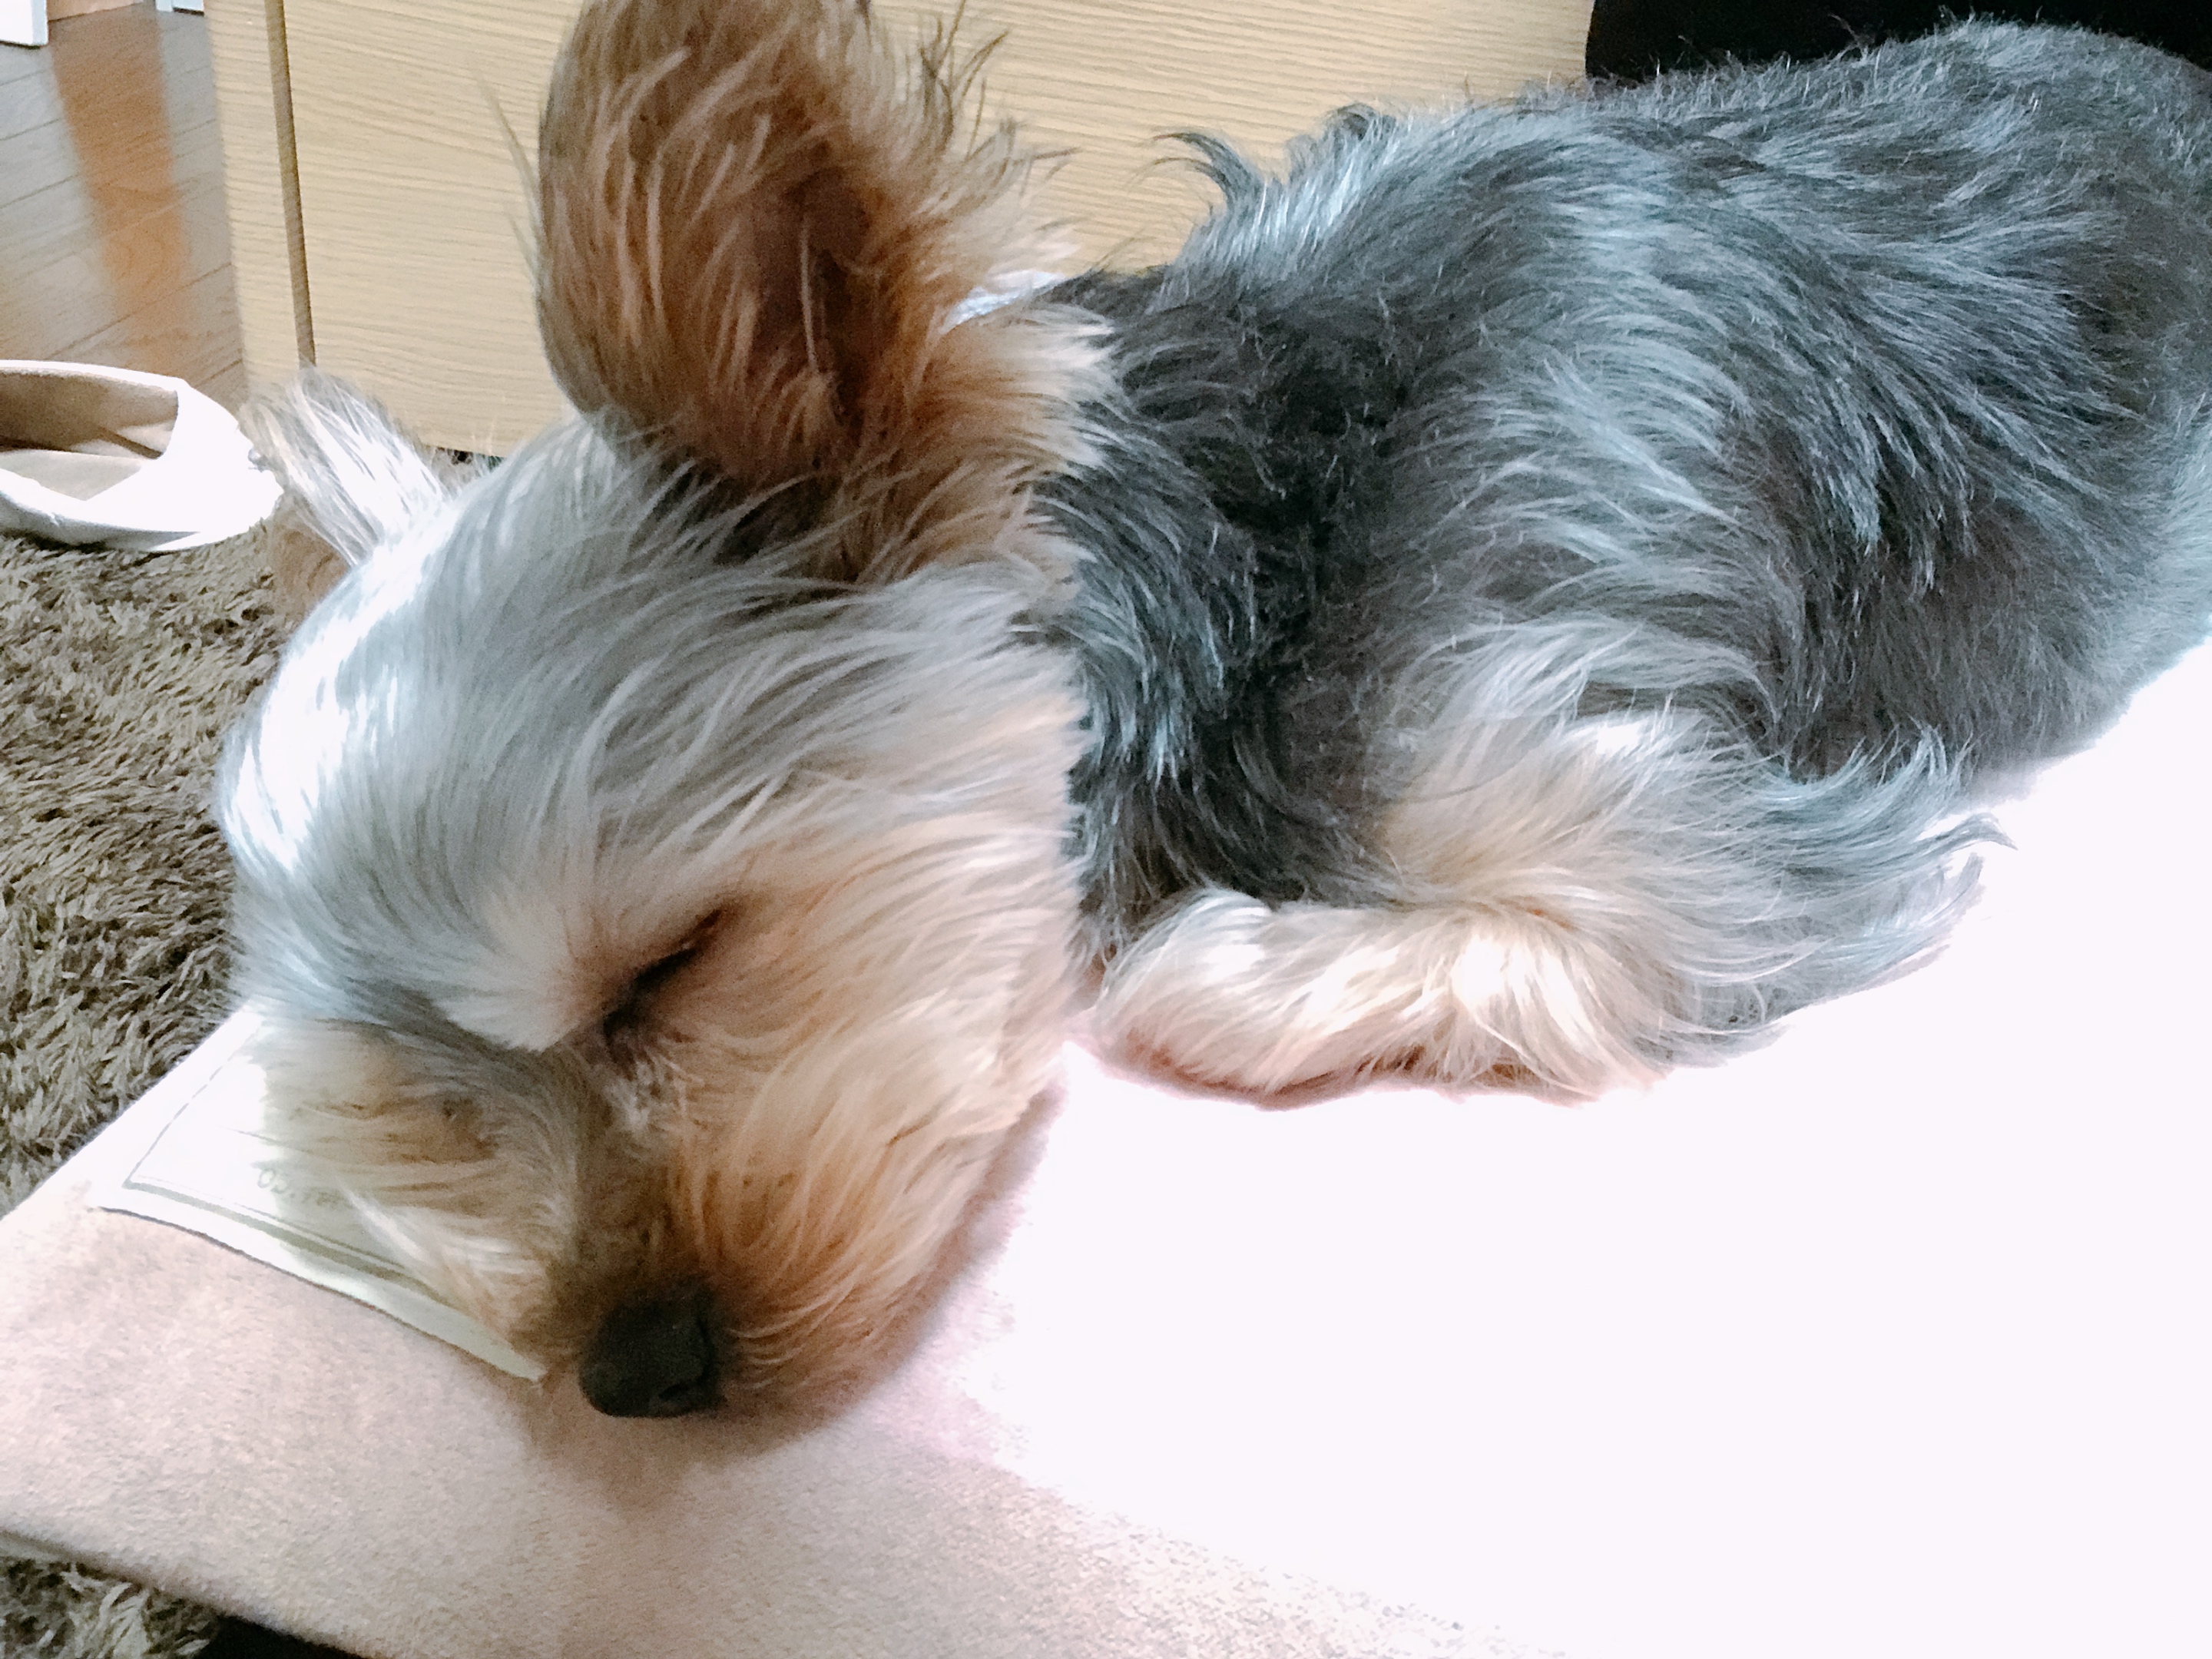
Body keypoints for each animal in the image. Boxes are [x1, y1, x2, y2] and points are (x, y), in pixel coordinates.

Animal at [218, 0, 2212, 1416]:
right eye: (427, 1092)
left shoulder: (1712, 832)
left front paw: (1213, 964)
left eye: (668, 967)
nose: (632, 1380)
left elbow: (1539, 932)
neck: (1268, 519)